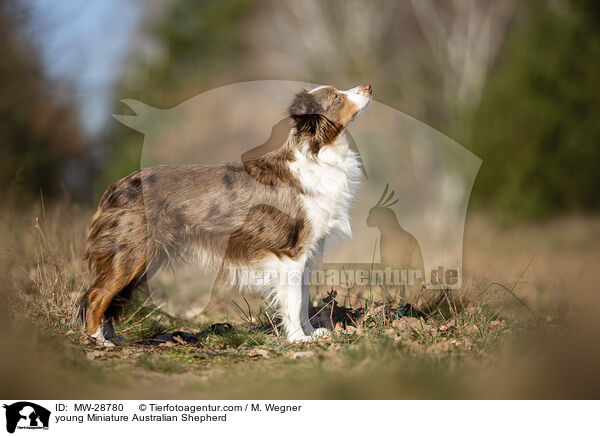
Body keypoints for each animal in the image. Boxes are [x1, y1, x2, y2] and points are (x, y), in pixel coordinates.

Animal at [76, 83, 370, 346]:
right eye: (336, 97)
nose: (367, 87)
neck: (317, 155)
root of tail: (116, 186)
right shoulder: (291, 253)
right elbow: (295, 301)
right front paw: (298, 339)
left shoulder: (306, 255)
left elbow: (303, 300)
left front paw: (311, 333)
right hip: (133, 253)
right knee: (96, 296)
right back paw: (98, 340)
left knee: (107, 297)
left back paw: (112, 336)